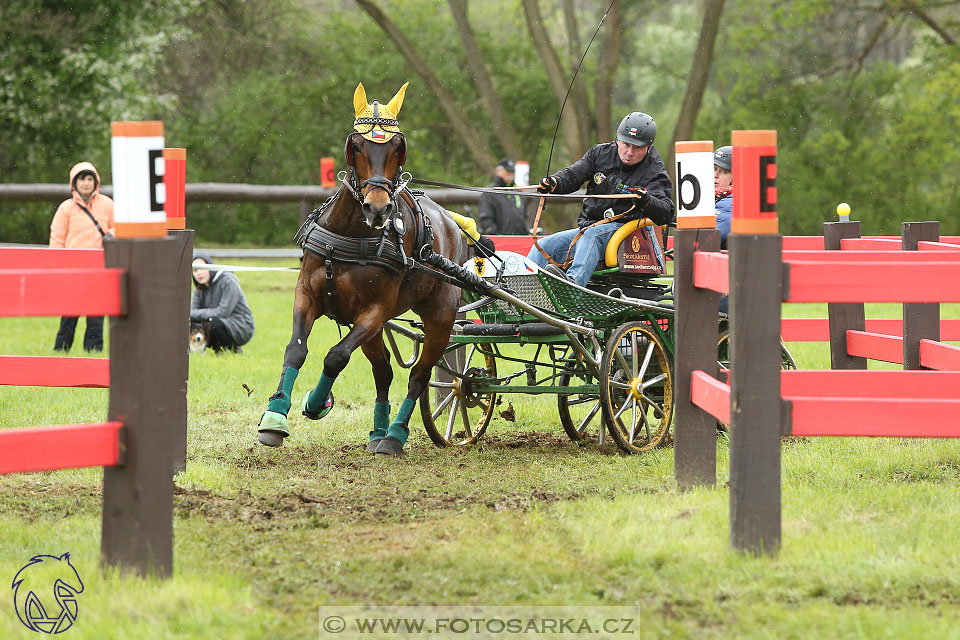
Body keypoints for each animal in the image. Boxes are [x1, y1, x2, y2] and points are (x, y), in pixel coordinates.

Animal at [258, 82, 476, 458]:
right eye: (356, 146)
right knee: (384, 369)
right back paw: (378, 431)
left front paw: (316, 403)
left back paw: (394, 435)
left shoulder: (375, 310)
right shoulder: (307, 295)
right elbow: (296, 350)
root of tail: (452, 222)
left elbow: (336, 356)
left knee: (419, 375)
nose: (378, 208)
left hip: (441, 316)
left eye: (397, 147)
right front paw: (274, 418)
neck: (352, 234)